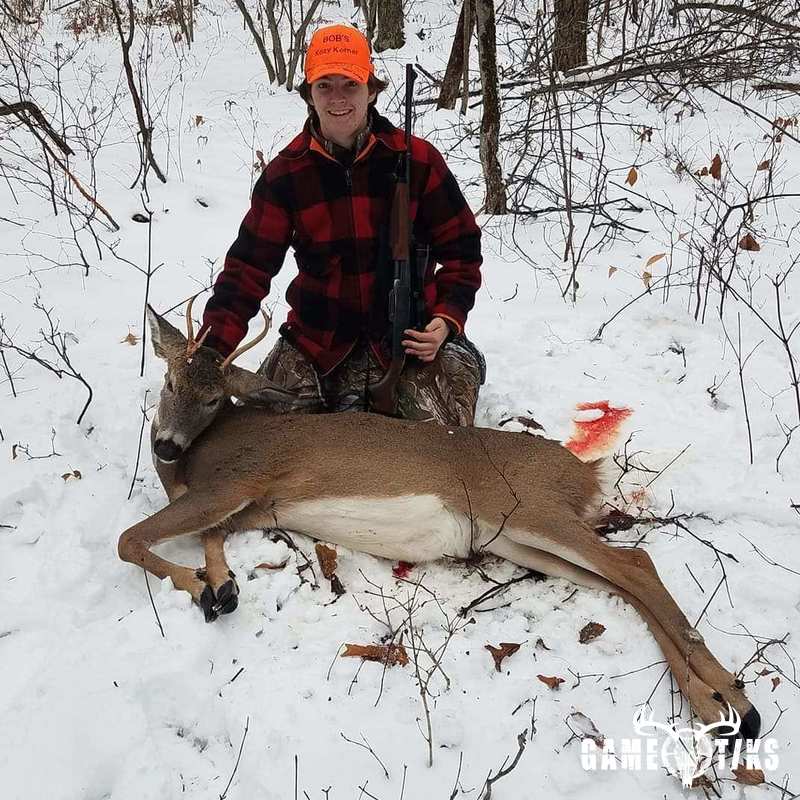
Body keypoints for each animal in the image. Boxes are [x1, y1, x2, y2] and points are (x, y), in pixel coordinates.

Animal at [117, 301, 761, 742]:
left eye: (211, 397)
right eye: (169, 381)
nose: (166, 445)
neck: (205, 452)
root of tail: (583, 470)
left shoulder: (238, 483)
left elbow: (130, 538)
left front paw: (197, 585)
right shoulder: (249, 506)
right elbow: (210, 537)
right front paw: (220, 586)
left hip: (532, 511)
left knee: (636, 562)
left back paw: (737, 703)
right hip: (518, 541)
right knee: (622, 582)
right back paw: (717, 705)